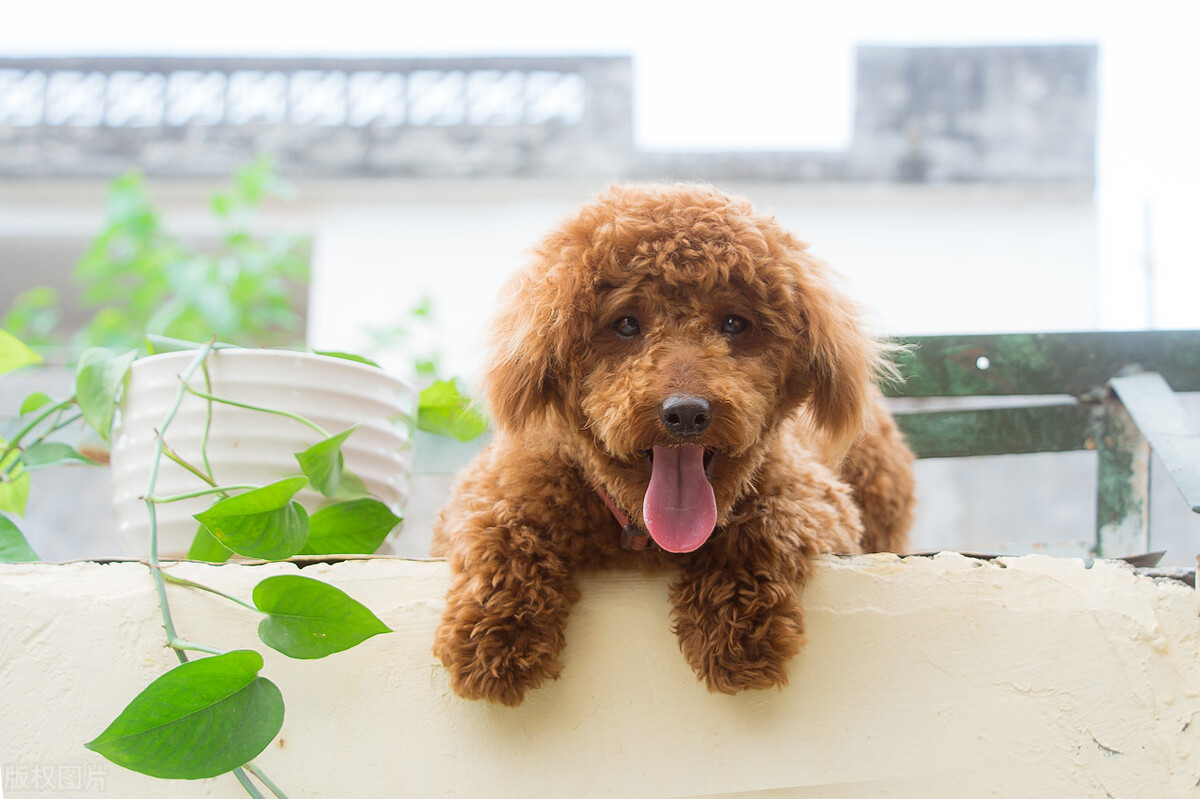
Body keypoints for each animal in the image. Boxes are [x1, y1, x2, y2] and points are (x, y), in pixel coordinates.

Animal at [436, 182, 912, 705]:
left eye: (734, 323)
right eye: (626, 324)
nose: (686, 413)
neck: (642, 532)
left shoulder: (816, 498)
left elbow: (766, 519)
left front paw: (738, 634)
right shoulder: (494, 485)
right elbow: (500, 525)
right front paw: (494, 637)